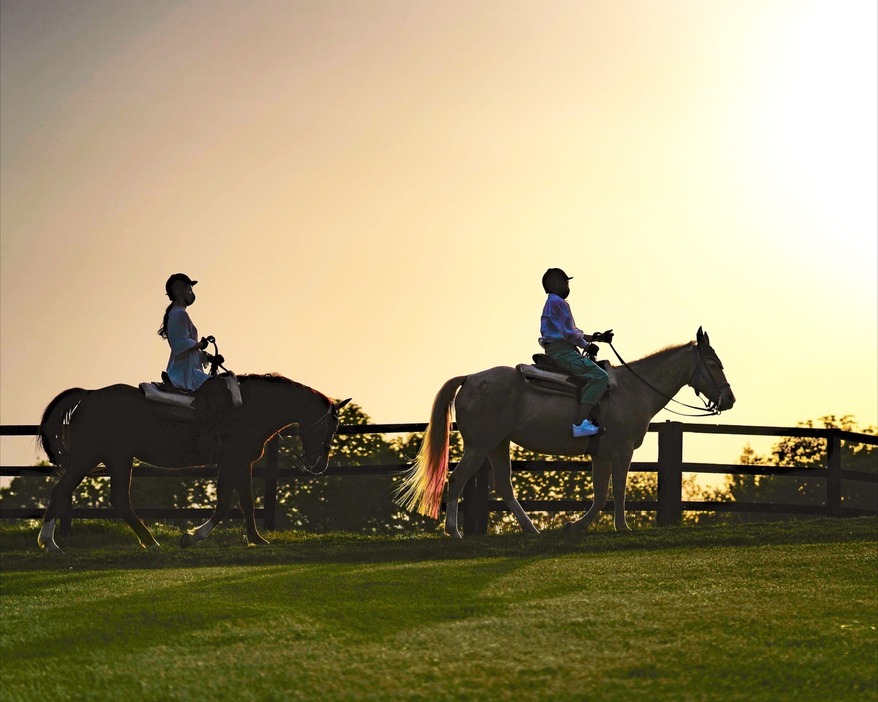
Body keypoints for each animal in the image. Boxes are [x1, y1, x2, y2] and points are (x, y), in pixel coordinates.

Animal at [38, 376, 350, 552]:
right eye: (332, 427)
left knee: (90, 496)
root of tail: (88, 394)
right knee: (83, 494)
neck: (252, 409)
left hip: (105, 458)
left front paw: (256, 539)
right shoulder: (230, 463)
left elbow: (247, 503)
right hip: (103, 457)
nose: (320, 465)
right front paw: (192, 536)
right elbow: (223, 505)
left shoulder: (243, 464)